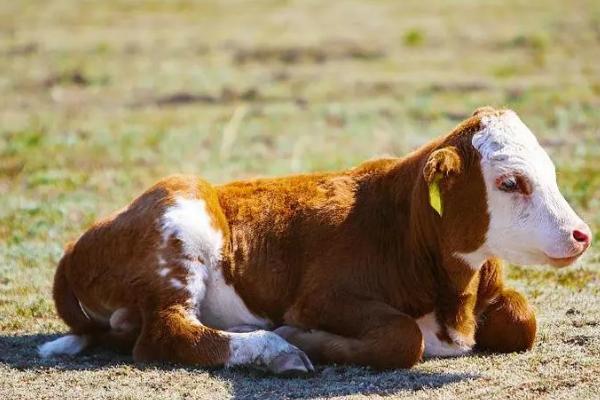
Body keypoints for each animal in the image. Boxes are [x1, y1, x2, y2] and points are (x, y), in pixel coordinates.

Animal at [41, 107, 592, 376]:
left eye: (550, 172)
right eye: (510, 182)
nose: (581, 234)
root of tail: (78, 244)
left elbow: (523, 320)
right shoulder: (320, 298)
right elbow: (402, 338)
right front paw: (302, 340)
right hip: (179, 220)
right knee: (165, 334)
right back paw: (277, 352)